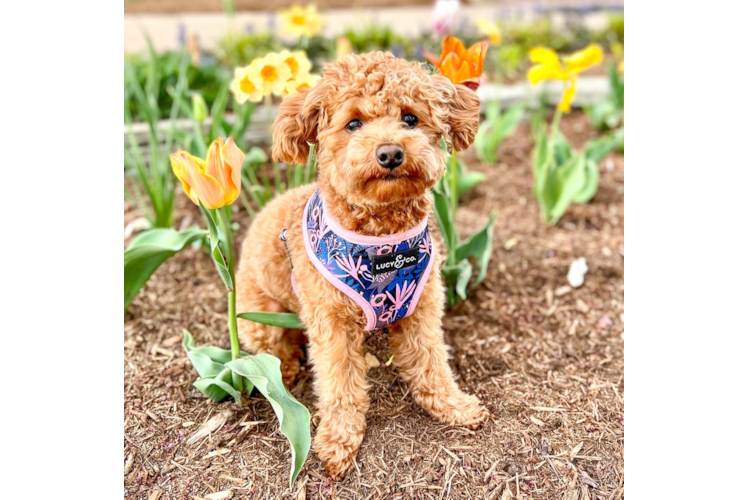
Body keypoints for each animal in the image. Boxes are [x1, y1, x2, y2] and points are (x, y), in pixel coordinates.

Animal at [237, 52, 488, 478]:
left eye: (410, 118)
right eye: (352, 123)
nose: (390, 153)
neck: (384, 244)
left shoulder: (421, 308)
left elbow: (431, 362)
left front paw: (452, 406)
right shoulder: (331, 324)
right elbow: (339, 384)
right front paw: (338, 440)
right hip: (258, 320)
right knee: (277, 350)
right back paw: (285, 372)